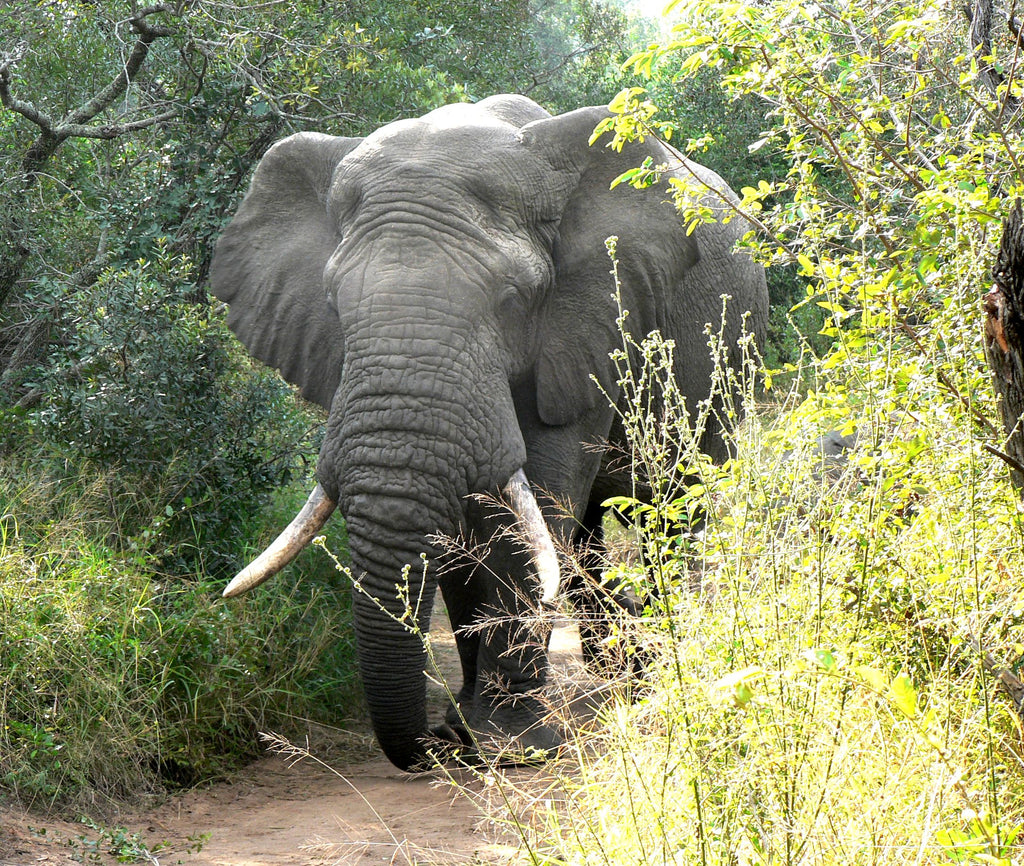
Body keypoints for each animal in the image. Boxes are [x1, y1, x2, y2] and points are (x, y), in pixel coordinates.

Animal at [209, 94, 768, 771]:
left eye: (512, 300)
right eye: (333, 303)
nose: (432, 738)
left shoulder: (586, 322)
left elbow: (526, 513)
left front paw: (509, 746)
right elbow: (465, 521)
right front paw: (471, 728)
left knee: (674, 510)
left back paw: (655, 679)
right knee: (586, 532)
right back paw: (615, 672)